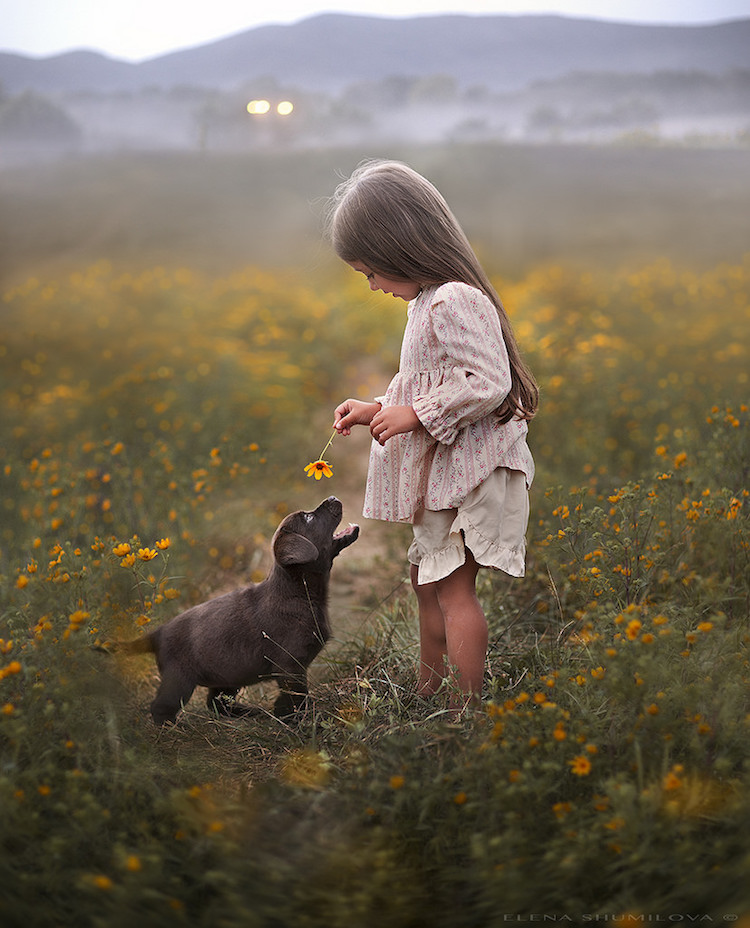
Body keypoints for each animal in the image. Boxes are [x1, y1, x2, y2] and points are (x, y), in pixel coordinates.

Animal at [113, 496, 360, 728]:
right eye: (308, 517)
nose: (332, 497)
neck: (299, 593)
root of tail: (158, 633)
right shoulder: (290, 666)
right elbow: (297, 698)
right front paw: (299, 722)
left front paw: (281, 713)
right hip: (179, 678)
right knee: (162, 707)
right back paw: (174, 727)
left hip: (227, 673)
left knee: (217, 703)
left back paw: (251, 712)